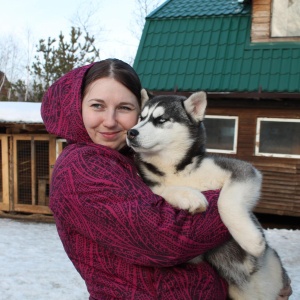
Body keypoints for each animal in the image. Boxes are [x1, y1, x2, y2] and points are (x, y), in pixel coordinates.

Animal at [127, 91, 290, 300]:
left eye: (161, 119)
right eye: (141, 118)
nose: (131, 132)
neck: (175, 170)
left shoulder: (241, 169)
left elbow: (225, 202)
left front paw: (252, 241)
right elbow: (163, 190)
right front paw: (189, 196)